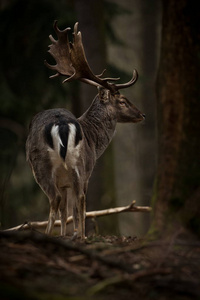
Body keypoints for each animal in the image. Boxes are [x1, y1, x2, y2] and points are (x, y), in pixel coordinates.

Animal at [26, 21, 145, 239]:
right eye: (123, 101)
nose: (142, 114)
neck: (93, 139)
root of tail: (62, 124)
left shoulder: (69, 179)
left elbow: (67, 210)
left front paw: (67, 235)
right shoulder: (83, 172)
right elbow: (69, 209)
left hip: (57, 166)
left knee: (66, 200)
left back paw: (74, 236)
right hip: (72, 166)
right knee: (73, 200)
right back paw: (76, 236)